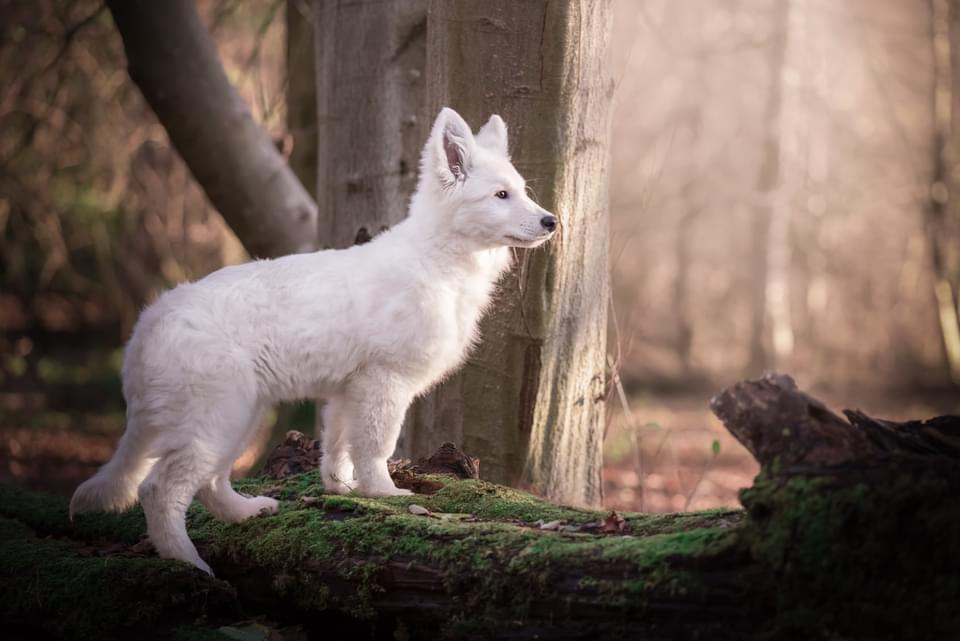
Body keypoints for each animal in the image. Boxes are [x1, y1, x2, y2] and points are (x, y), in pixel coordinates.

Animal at [71, 107, 560, 572]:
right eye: (501, 195)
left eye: (521, 190)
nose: (552, 222)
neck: (438, 258)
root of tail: (149, 322)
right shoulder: (385, 382)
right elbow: (376, 446)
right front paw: (384, 492)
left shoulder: (348, 390)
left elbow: (338, 445)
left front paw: (342, 488)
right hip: (215, 416)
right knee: (160, 489)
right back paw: (190, 565)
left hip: (239, 414)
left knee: (209, 482)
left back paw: (244, 513)